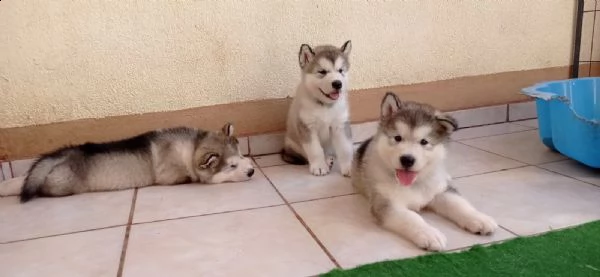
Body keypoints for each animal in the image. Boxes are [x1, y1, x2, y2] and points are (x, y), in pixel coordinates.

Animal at [280, 40, 352, 176]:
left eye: (340, 70)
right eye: (322, 72)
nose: (337, 84)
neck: (325, 105)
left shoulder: (340, 125)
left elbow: (345, 148)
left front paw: (349, 167)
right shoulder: (307, 126)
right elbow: (315, 150)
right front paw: (319, 166)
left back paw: (329, 159)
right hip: (293, 142)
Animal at [350, 92, 500, 250]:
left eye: (424, 142)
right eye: (397, 138)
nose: (407, 159)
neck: (414, 183)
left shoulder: (440, 191)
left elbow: (459, 204)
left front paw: (479, 218)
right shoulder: (387, 203)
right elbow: (412, 217)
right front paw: (429, 234)